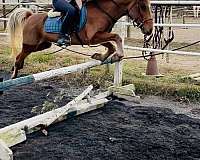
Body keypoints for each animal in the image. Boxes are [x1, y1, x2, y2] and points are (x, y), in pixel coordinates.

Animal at [7, 0, 152, 78]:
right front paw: (119, 54)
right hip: (30, 45)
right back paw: (13, 76)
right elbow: (116, 38)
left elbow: (111, 45)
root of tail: (30, 16)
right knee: (18, 59)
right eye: (143, 6)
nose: (150, 30)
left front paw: (100, 56)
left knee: (20, 56)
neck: (102, 12)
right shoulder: (93, 38)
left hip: (41, 45)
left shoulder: (95, 37)